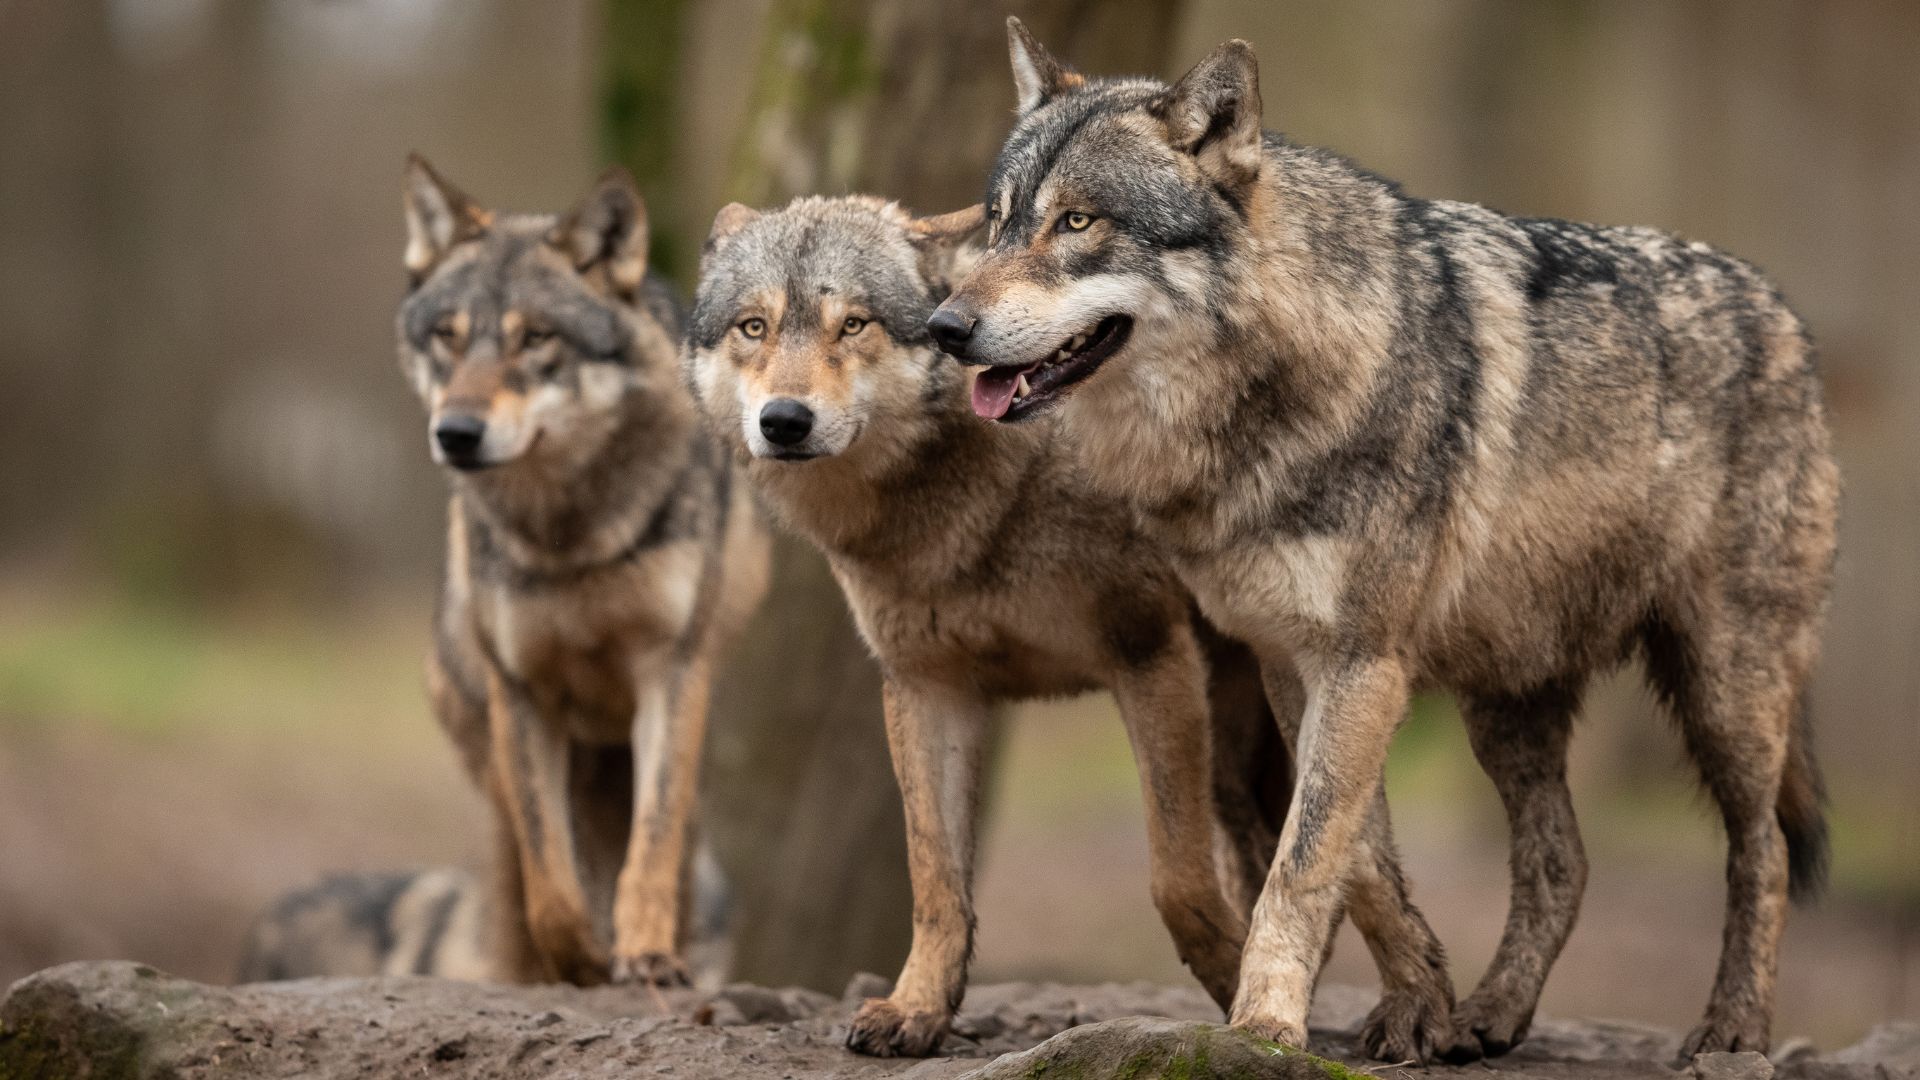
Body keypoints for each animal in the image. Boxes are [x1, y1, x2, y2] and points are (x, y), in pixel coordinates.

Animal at [397, 157, 768, 987]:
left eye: (535, 338)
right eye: (447, 338)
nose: (456, 433)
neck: (569, 536)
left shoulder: (670, 674)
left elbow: (651, 848)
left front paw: (647, 954)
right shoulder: (523, 694)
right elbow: (551, 885)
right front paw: (582, 963)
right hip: (498, 763)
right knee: (516, 886)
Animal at [683, 193, 1464, 1059]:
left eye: (853, 325)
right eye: (754, 327)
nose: (784, 421)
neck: (971, 502)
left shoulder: (1149, 658)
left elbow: (1175, 881)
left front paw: (1239, 1003)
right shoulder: (926, 689)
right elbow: (935, 880)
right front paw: (919, 1008)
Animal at [929, 20, 1838, 1062]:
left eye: (1077, 223)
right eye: (998, 220)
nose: (944, 326)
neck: (1266, 399)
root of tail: (1783, 309)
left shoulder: (1363, 663)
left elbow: (1303, 860)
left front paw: (1267, 1024)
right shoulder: (1295, 661)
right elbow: (1356, 856)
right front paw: (1419, 1004)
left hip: (1725, 689)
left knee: (1763, 851)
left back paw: (1732, 1029)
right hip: (1509, 703)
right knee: (1563, 860)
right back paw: (1491, 1014)